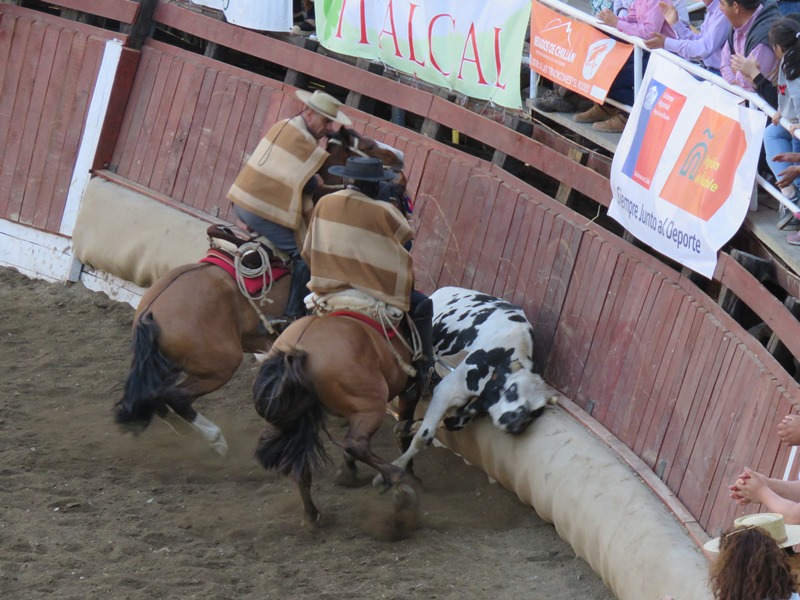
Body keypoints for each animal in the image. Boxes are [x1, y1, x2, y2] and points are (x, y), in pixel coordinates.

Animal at [111, 126, 406, 454]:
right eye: (367, 145)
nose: (400, 156)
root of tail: (151, 311)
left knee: (158, 399)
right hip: (221, 363)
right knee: (176, 398)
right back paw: (216, 440)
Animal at [253, 312, 422, 528]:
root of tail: (296, 350)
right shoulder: (408, 390)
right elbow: (403, 427)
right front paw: (410, 472)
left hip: (291, 420)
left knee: (299, 461)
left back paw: (312, 514)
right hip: (372, 403)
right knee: (356, 443)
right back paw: (397, 480)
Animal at [390, 286, 552, 474]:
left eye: (537, 412)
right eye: (513, 389)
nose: (516, 422)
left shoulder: (464, 414)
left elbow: (447, 423)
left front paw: (406, 427)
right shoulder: (447, 389)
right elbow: (424, 436)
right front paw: (398, 465)